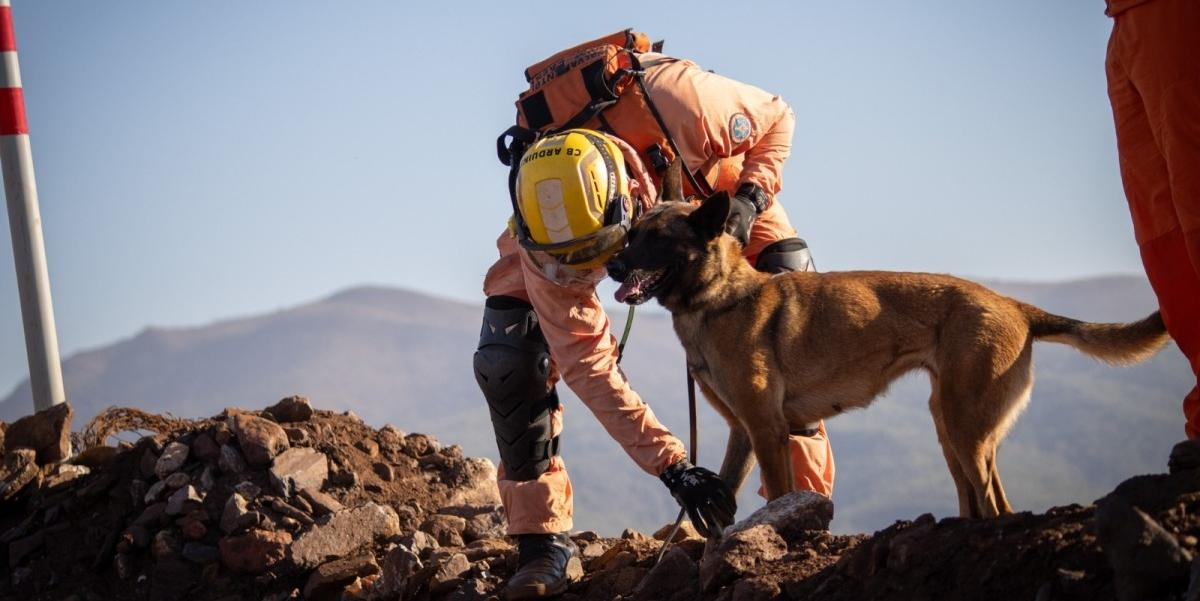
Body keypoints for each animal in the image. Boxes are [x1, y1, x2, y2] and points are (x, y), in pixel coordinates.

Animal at [604, 190, 1166, 515]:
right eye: (632, 235)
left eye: (657, 238)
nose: (612, 266)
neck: (719, 298)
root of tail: (1014, 305)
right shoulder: (743, 432)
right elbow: (720, 507)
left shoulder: (767, 430)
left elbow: (781, 493)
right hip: (950, 427)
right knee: (981, 501)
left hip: (966, 428)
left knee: (996, 504)